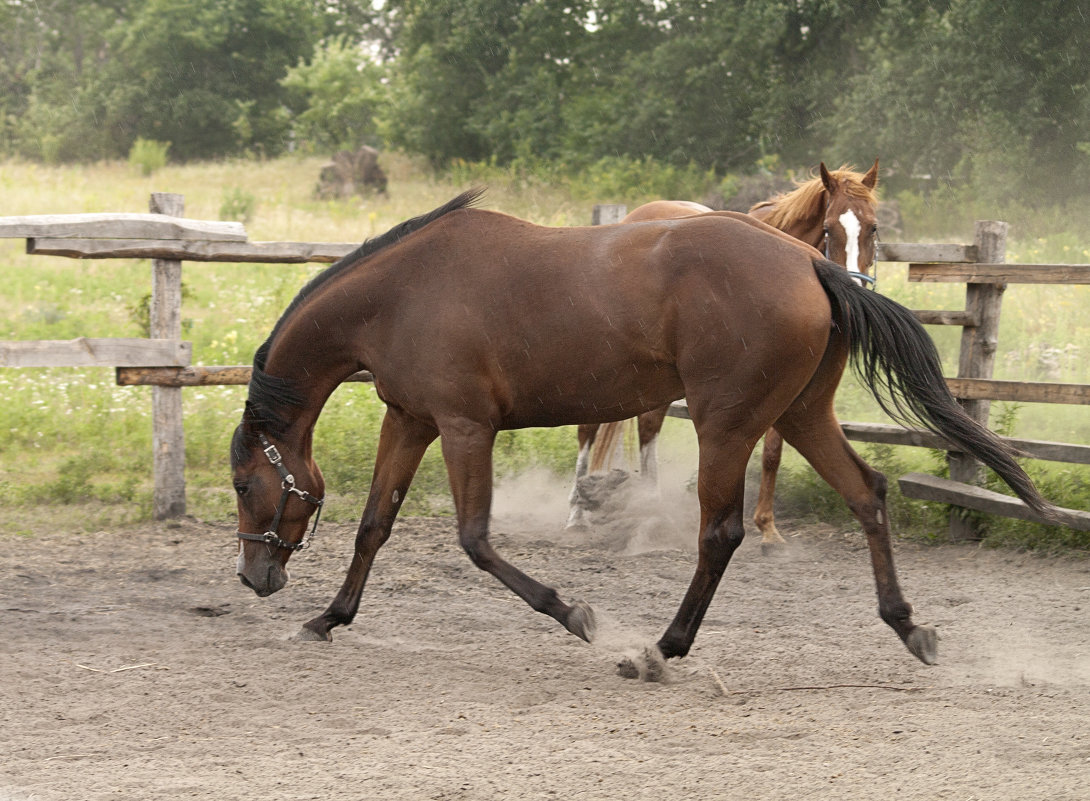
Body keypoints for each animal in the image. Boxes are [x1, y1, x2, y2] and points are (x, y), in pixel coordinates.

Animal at [566, 161, 880, 557]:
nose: (855, 293)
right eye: (828, 228)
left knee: (648, 427)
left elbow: (772, 453)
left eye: (873, 227)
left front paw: (769, 529)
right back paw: (577, 515)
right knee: (590, 429)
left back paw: (649, 510)